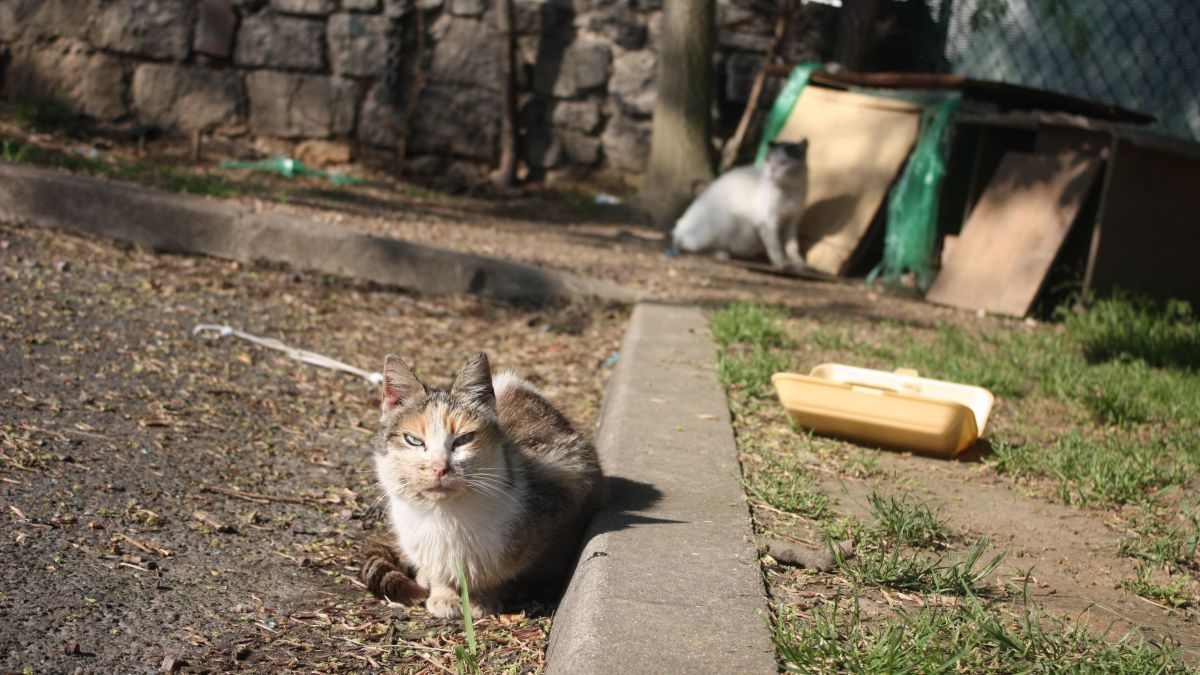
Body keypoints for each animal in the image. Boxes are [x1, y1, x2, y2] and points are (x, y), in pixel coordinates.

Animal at [355, 348, 600, 619]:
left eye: (464, 439)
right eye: (414, 440)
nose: (439, 467)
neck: (446, 515)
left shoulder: (564, 485)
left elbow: (502, 567)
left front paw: (484, 597)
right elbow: (438, 567)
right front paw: (443, 593)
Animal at [672, 139, 811, 270]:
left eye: (783, 163)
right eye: (768, 160)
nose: (771, 170)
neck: (789, 191)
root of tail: (679, 226)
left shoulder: (792, 221)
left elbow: (792, 246)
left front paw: (799, 262)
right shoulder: (768, 223)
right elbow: (775, 246)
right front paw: (781, 262)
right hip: (728, 221)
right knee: (689, 248)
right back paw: (721, 254)